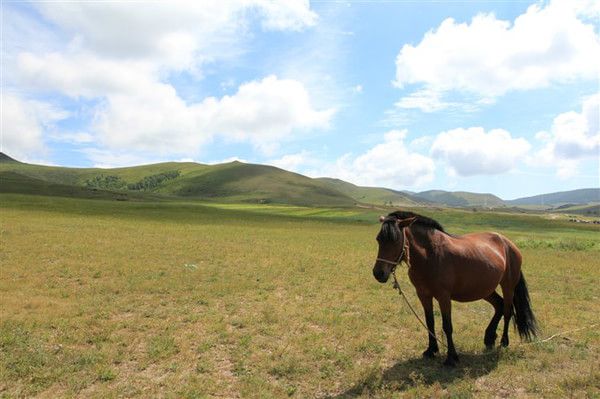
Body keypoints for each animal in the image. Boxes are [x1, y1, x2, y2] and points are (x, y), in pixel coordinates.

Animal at [372, 211, 536, 368]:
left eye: (395, 240)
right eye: (378, 239)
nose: (378, 273)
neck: (430, 255)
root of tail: (509, 244)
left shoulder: (444, 297)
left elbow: (447, 326)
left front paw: (451, 358)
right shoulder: (423, 295)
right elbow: (430, 322)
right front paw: (431, 350)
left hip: (508, 285)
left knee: (508, 311)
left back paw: (504, 342)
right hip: (485, 289)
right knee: (499, 306)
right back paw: (489, 338)